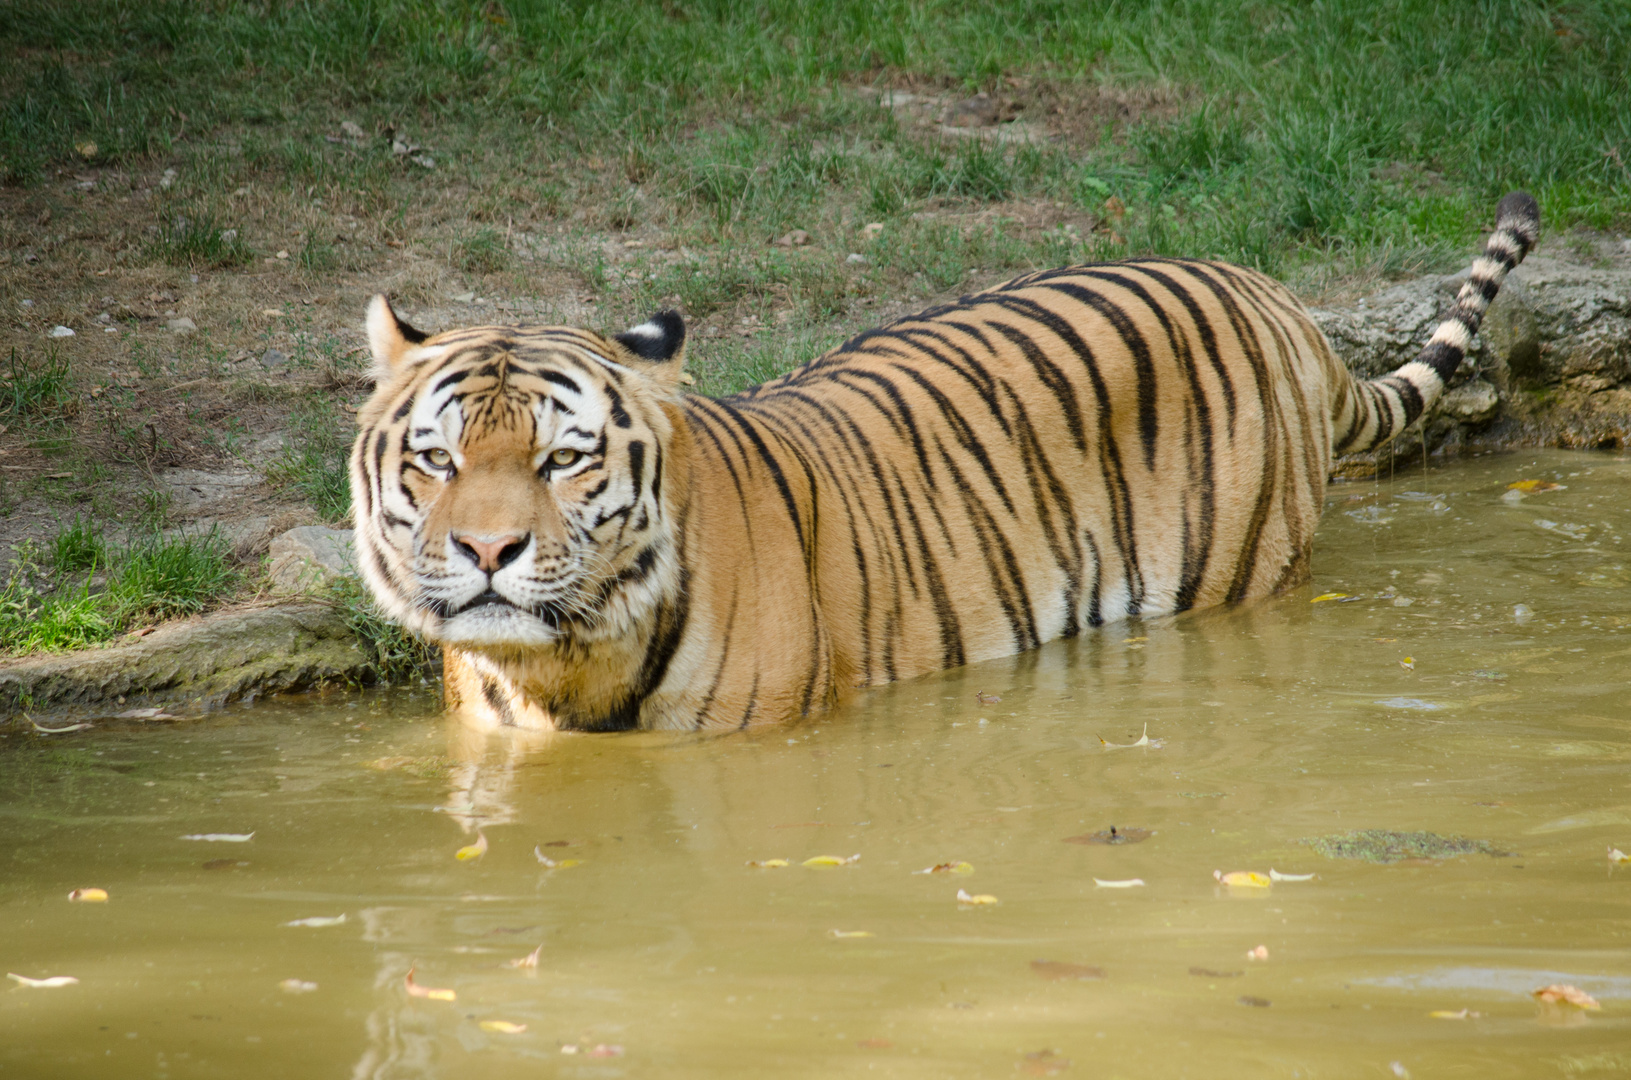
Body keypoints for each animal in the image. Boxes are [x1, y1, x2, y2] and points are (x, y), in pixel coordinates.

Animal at [347, 192, 1539, 737]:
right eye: (437, 460)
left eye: (563, 460)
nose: (488, 551)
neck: (554, 674)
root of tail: (1269, 291)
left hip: (1237, 578)